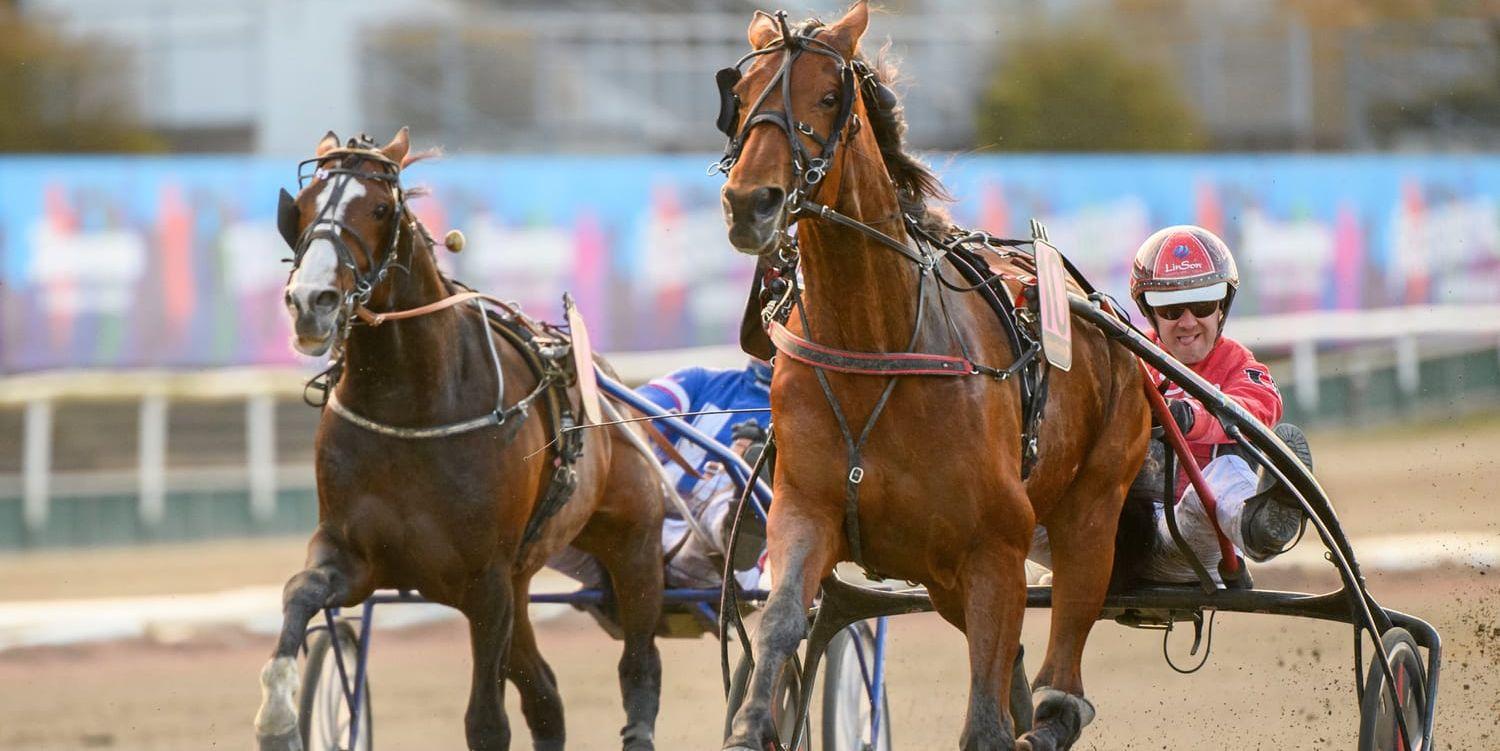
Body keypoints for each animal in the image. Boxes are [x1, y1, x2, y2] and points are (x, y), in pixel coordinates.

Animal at [255, 128, 666, 749]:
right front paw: (278, 714)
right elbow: (300, 592)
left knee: (639, 667)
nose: (311, 302)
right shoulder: (356, 555)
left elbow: (487, 723)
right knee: (545, 695)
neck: (411, 410)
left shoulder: (486, 580)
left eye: (380, 208)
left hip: (632, 543)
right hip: (523, 579)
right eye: (300, 208)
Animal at [720, 5, 1152, 749]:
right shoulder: (804, 511)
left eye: (828, 98)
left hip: (1091, 506)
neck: (879, 345)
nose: (751, 203)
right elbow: (778, 624)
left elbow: (986, 721)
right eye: (742, 97)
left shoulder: (995, 550)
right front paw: (753, 722)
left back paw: (1054, 710)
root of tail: (1094, 306)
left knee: (1061, 680)